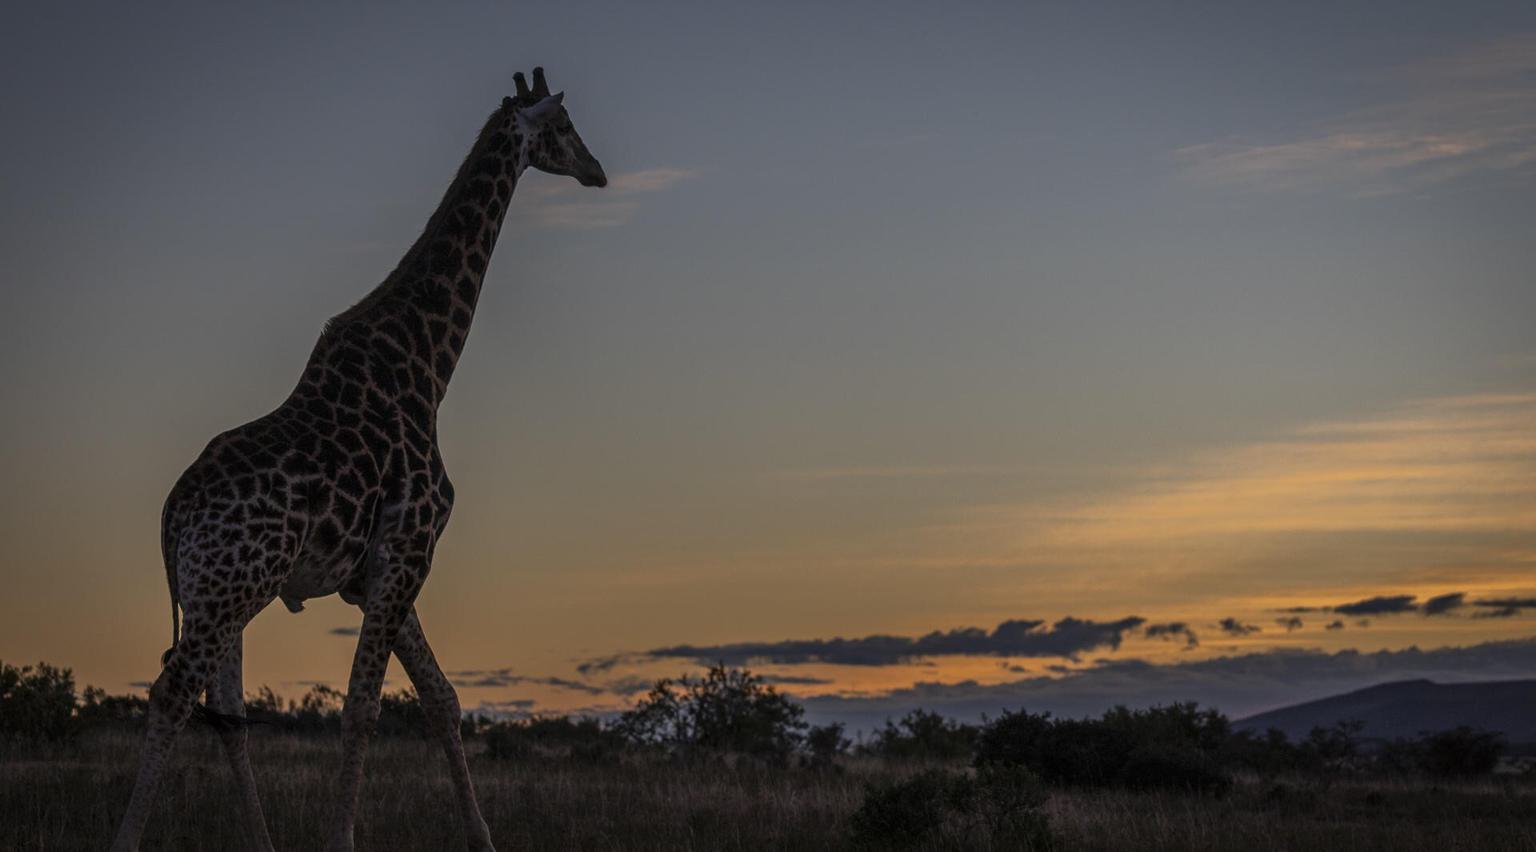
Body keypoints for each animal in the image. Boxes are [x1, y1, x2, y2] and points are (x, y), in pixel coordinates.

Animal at [110, 68, 606, 852]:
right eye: (562, 126)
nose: (597, 171)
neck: (428, 363)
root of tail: (171, 514)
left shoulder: (376, 569)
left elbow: (441, 698)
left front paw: (483, 838)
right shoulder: (407, 550)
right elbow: (364, 708)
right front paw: (343, 839)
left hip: (221, 593)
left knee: (227, 714)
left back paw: (262, 843)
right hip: (230, 587)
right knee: (172, 696)